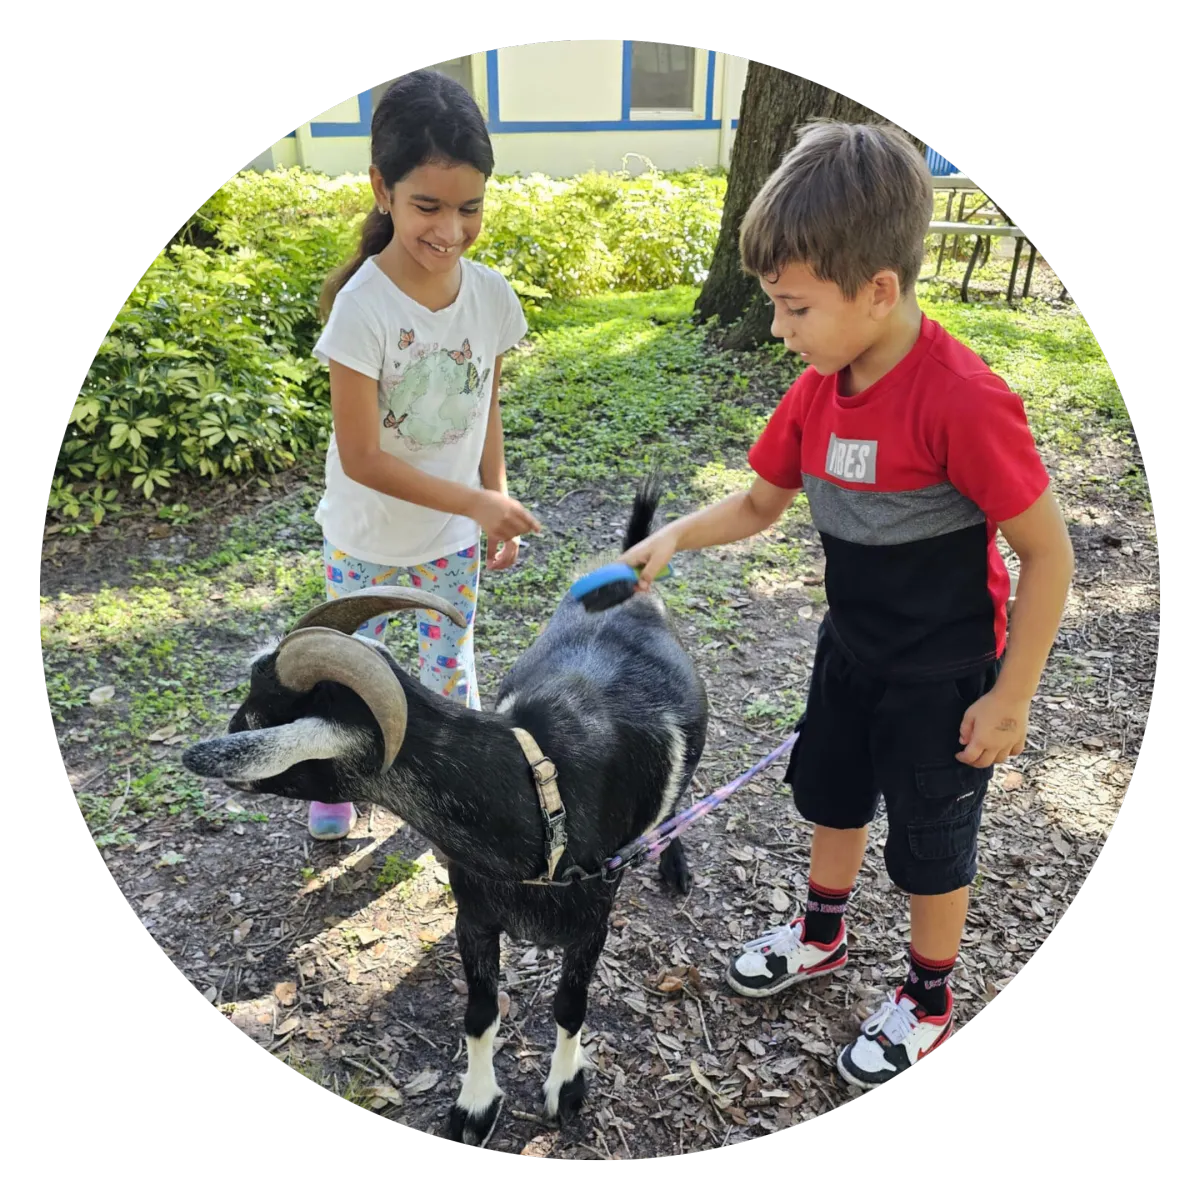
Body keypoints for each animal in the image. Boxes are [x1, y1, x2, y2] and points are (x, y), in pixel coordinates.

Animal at [182, 477, 705, 1142]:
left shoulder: (593, 920)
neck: (542, 798)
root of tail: (631, 576)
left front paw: (566, 1088)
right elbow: (480, 1012)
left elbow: (570, 1005)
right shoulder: (474, 916)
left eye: (264, 711)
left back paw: (673, 863)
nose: (226, 738)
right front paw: (475, 1105)